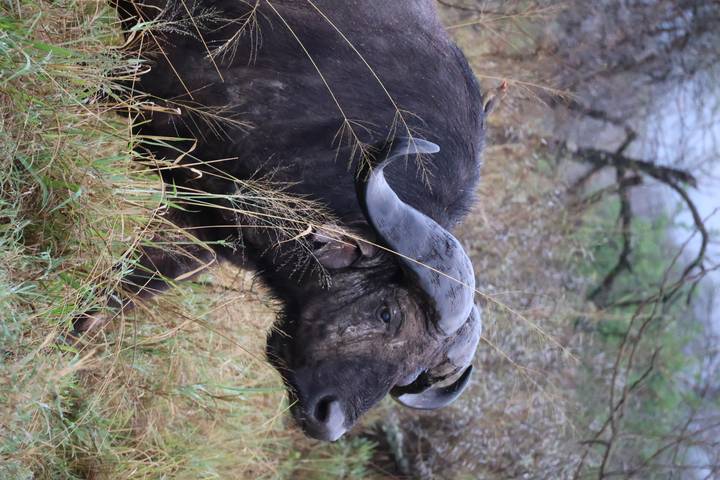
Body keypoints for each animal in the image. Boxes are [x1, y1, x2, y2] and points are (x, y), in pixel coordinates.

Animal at [78, 0, 486, 441]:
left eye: (410, 374)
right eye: (387, 313)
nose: (329, 420)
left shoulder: (200, 226)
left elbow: (119, 295)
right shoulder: (141, 78)